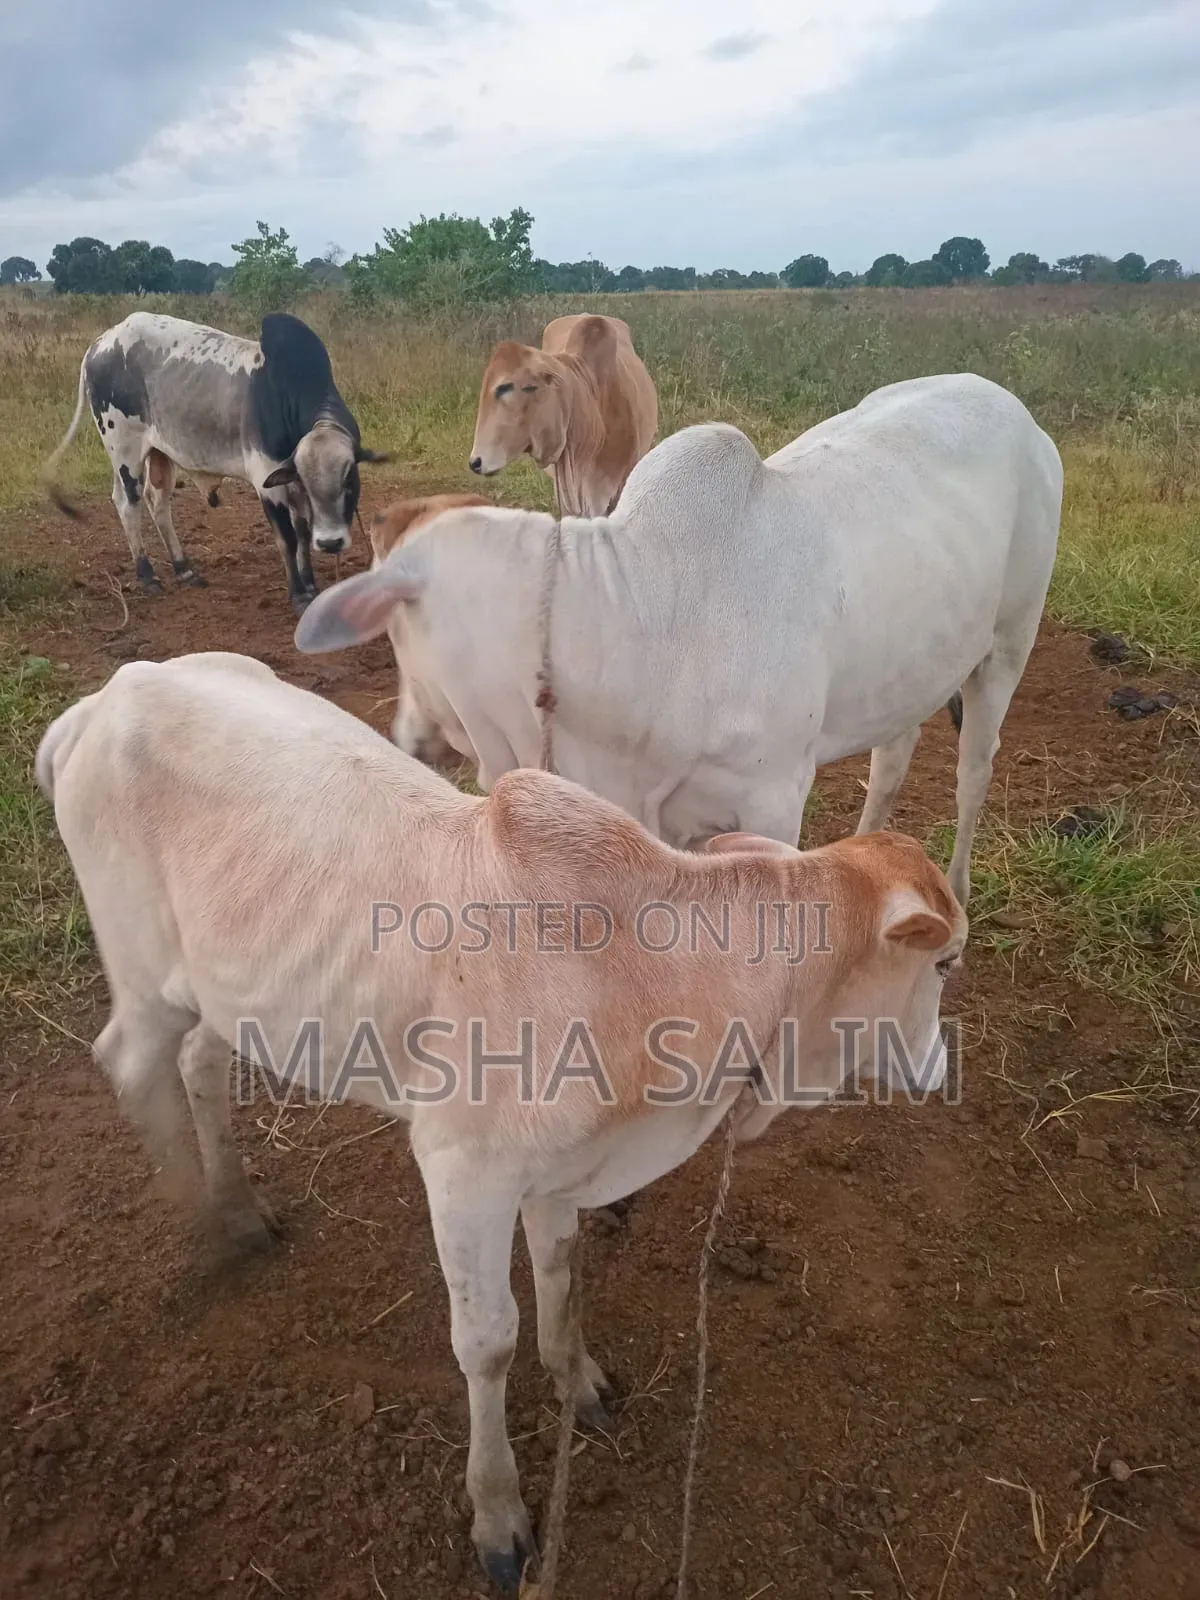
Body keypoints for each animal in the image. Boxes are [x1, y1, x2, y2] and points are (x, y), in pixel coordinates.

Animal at [36, 650, 967, 1592]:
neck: (650, 979)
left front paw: (579, 1380)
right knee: (130, 1059)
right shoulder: (462, 1172)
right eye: (946, 961)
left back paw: (238, 1208)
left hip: (228, 989)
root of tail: (109, 696)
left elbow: (558, 1272)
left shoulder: (557, 1170)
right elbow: (487, 1343)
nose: (938, 1068)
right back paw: (203, 1221)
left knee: (199, 1063)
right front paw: (498, 1514)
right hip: (145, 978)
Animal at [40, 311, 389, 613]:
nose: (331, 543)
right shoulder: (268, 482)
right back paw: (148, 576)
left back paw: (184, 568)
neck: (285, 395)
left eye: (349, 479)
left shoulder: (292, 486)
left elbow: (303, 534)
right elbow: (288, 539)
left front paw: (312, 586)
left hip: (159, 453)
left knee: (156, 502)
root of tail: (100, 343)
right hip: (124, 450)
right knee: (129, 505)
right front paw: (299, 595)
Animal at [296, 372, 1064, 909]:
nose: (406, 736)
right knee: (893, 757)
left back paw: (955, 893)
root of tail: (1018, 412)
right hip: (909, 667)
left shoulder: (775, 805)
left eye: (396, 635)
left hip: (1009, 644)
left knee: (974, 771)